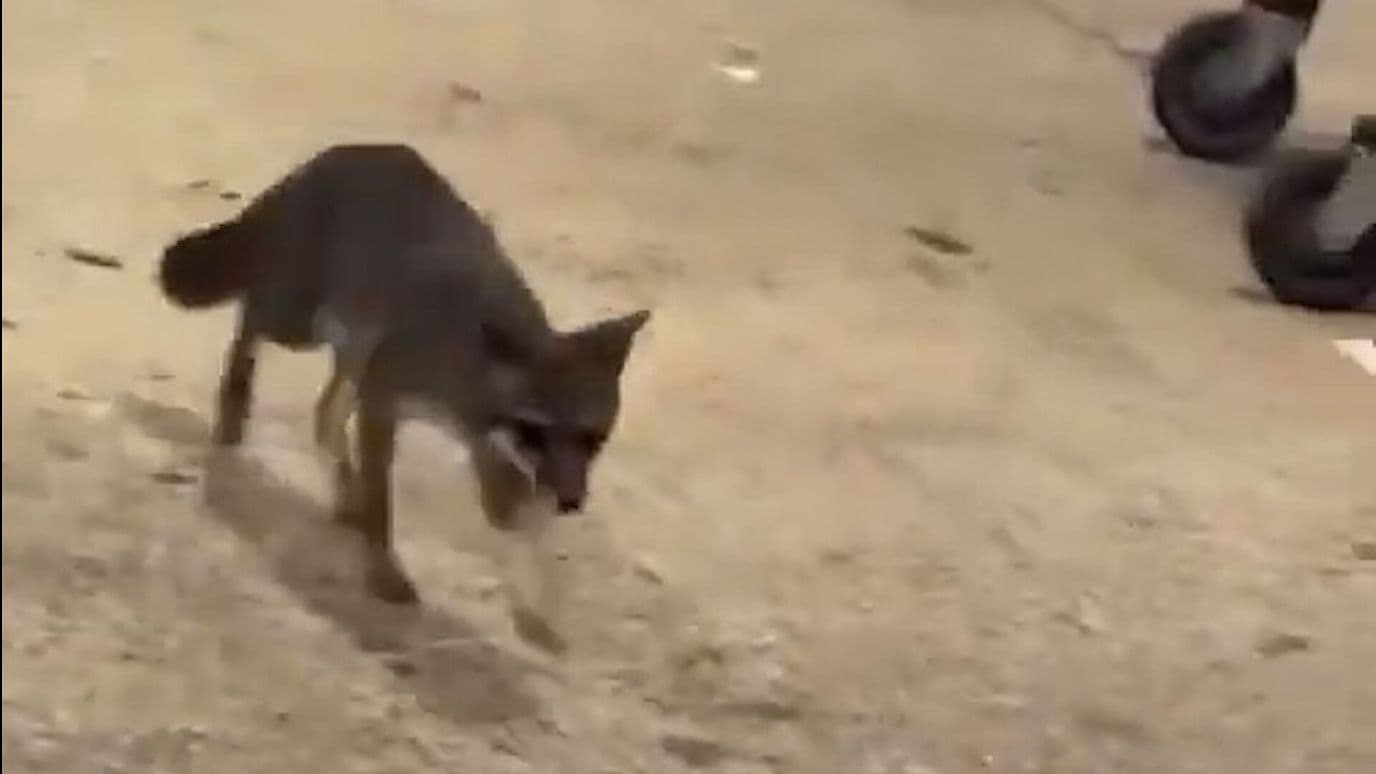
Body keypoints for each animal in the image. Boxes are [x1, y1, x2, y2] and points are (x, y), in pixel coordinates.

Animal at [158, 143, 650, 605]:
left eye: (593, 438)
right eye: (536, 430)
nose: (571, 502)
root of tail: (341, 153)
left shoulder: (468, 426)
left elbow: (506, 498)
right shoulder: (384, 399)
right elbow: (382, 503)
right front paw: (382, 565)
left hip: (351, 346)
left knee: (325, 412)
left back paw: (344, 488)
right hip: (298, 324)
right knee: (251, 316)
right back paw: (236, 402)